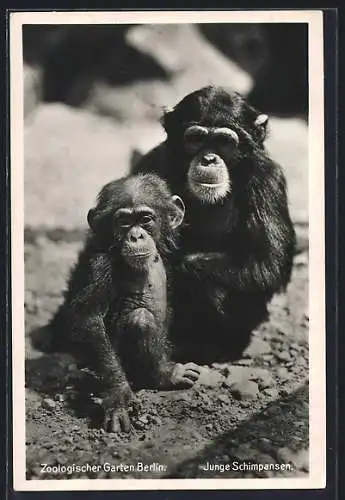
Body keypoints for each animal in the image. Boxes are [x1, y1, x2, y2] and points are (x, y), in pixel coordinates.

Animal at [33, 174, 200, 432]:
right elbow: (88, 318)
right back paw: (157, 377)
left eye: (145, 219)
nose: (135, 235)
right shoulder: (100, 263)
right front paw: (119, 395)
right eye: (123, 221)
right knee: (140, 319)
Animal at [132, 85, 296, 360]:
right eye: (196, 139)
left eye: (225, 142)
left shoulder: (268, 180)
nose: (208, 158)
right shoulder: (150, 166)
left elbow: (268, 262)